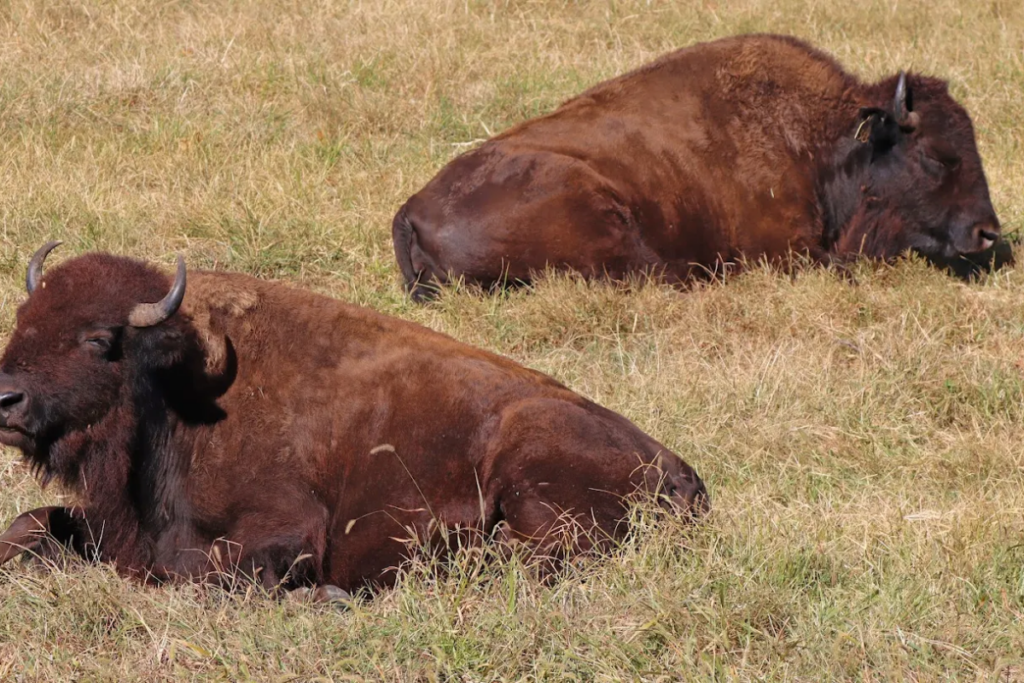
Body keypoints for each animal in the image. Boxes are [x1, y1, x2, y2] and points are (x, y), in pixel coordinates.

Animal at [0, 244, 707, 598]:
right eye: (22, 320)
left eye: (98, 339)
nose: (6, 400)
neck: (178, 389)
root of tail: (679, 470)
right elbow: (31, 523)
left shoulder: (286, 525)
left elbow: (202, 571)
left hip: (528, 459)